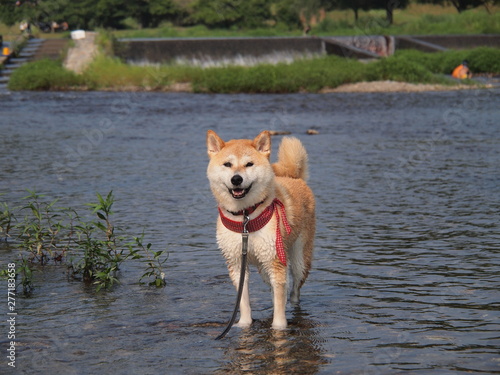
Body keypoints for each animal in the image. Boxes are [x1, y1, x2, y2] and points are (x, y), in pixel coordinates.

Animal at [205, 131, 314, 330]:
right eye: (227, 164)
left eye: (249, 164)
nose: (236, 179)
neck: (245, 219)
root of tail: (295, 177)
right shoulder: (237, 264)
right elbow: (243, 300)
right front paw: (244, 324)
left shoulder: (276, 261)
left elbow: (280, 307)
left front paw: (279, 328)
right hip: (264, 267)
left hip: (298, 260)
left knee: (294, 290)